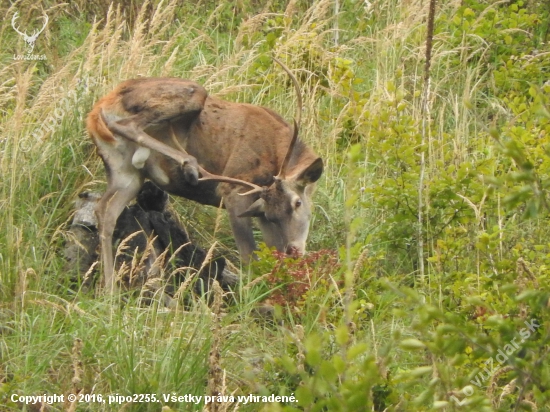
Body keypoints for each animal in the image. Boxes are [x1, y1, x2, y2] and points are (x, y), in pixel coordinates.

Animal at [87, 58, 324, 292]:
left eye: (297, 203)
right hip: (192, 93)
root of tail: (98, 109)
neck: (275, 152)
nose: (293, 251)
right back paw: (190, 164)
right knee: (127, 125)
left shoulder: (258, 210)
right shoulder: (234, 191)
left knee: (105, 210)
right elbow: (248, 257)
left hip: (126, 172)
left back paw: (108, 288)